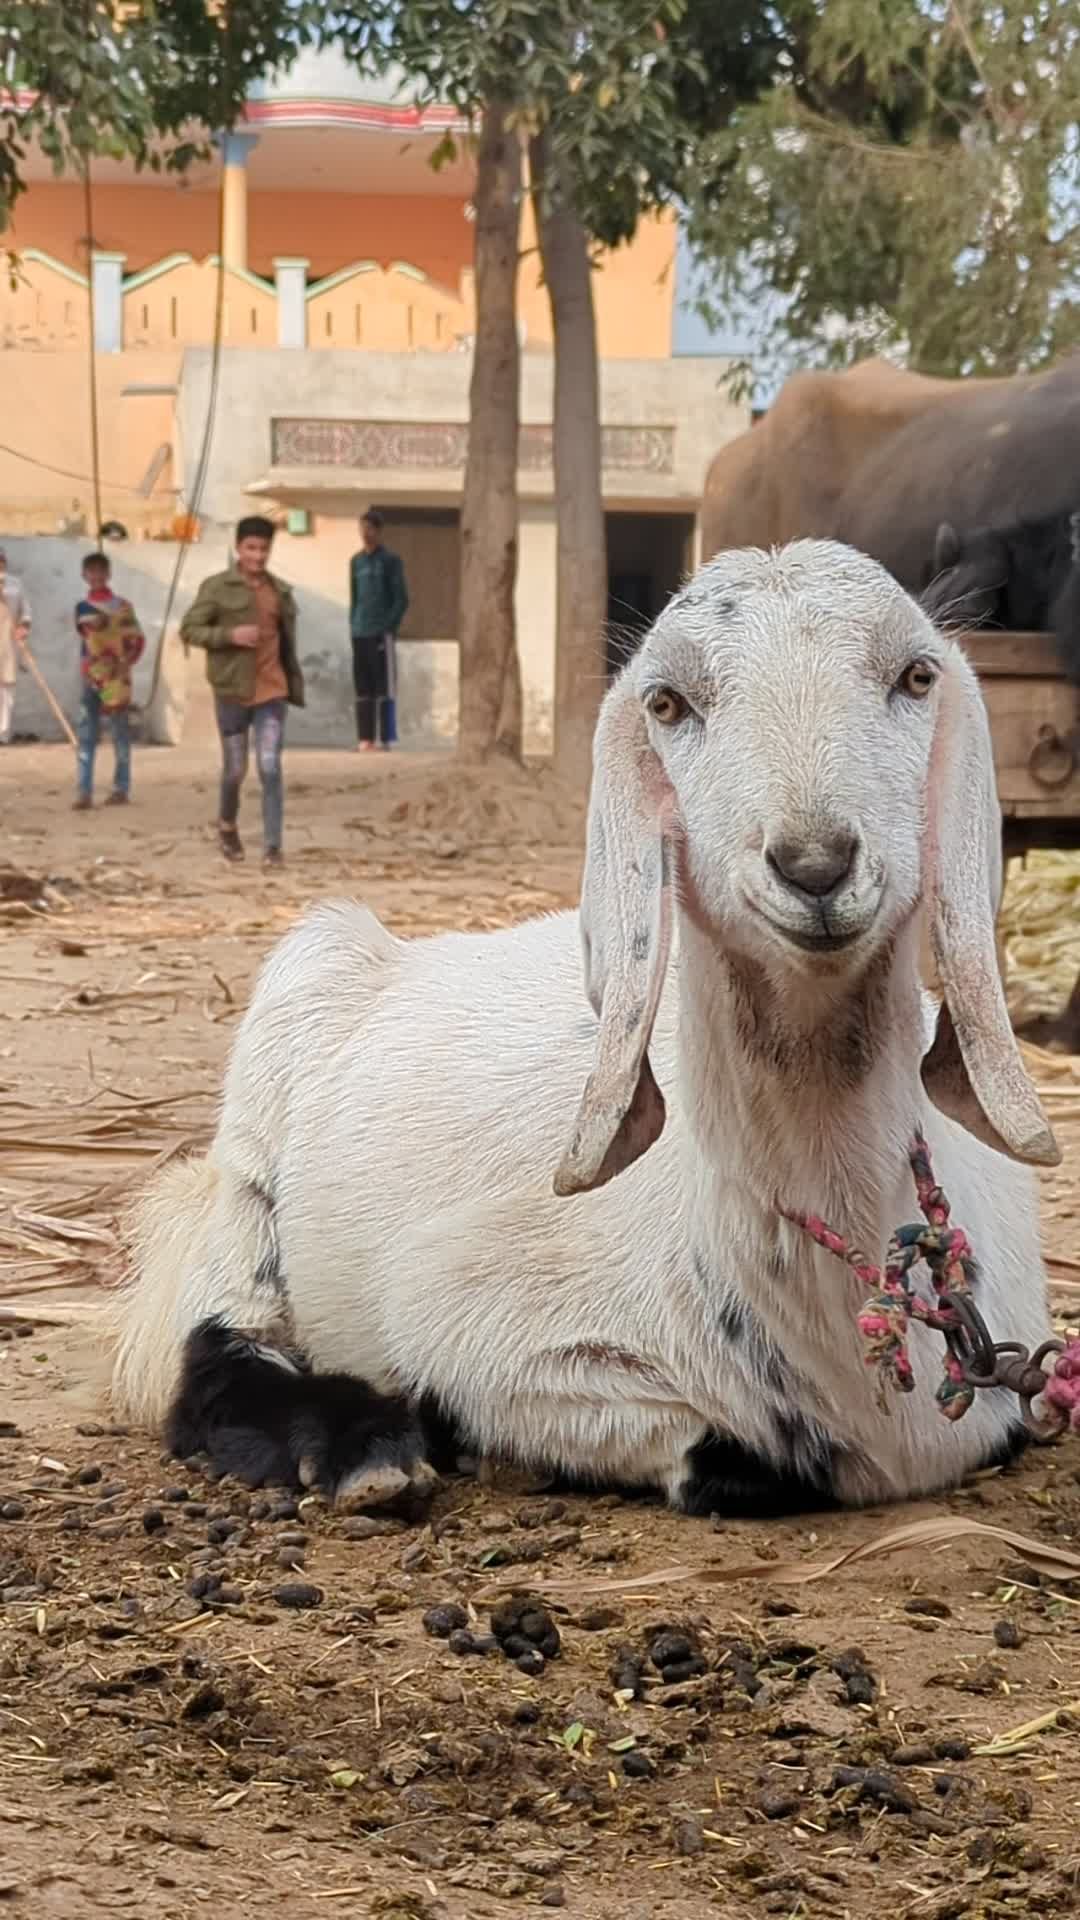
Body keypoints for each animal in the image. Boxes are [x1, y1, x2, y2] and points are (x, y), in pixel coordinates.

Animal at [108, 541, 1060, 1518]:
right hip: (270, 1093)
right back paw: (358, 1447)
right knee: (212, 1348)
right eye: (667, 703)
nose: (815, 865)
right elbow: (720, 1459)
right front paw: (420, 1429)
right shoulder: (459, 1309)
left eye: (917, 676)